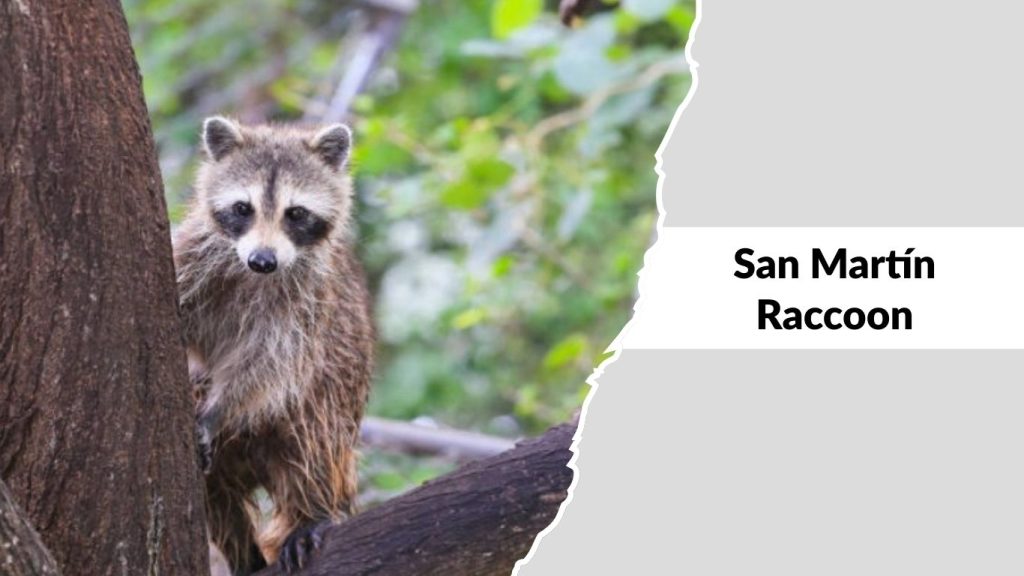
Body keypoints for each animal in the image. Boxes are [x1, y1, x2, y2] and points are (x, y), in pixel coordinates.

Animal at [173, 117, 374, 575]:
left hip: (336, 399)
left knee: (314, 433)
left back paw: (311, 510)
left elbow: (271, 363)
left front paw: (217, 410)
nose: (262, 261)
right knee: (218, 499)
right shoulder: (193, 257)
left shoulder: (307, 302)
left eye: (295, 213)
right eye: (242, 208)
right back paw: (240, 549)